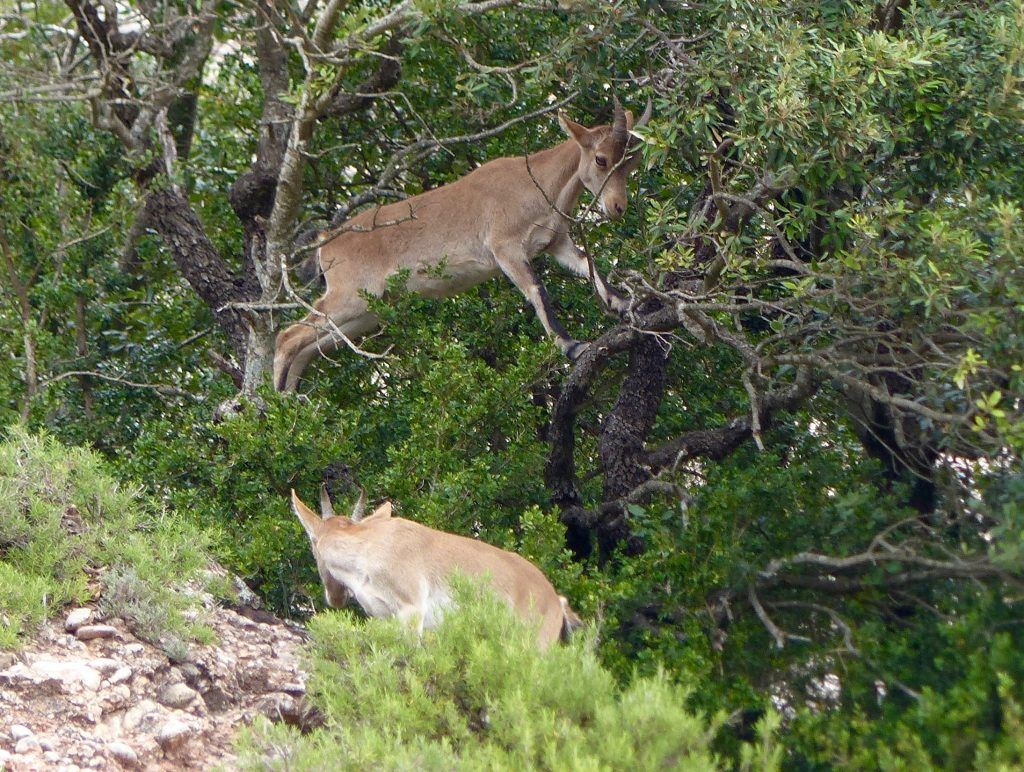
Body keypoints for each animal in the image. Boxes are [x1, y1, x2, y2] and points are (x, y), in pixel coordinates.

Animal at [274, 98, 651, 391]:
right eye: (601, 158)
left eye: (631, 160)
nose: (617, 207)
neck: (537, 184)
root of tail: (326, 243)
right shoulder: (506, 248)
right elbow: (536, 289)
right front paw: (572, 345)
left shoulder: (555, 242)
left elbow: (588, 264)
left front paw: (623, 303)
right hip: (349, 295)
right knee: (287, 337)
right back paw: (273, 406)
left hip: (366, 311)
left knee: (309, 346)